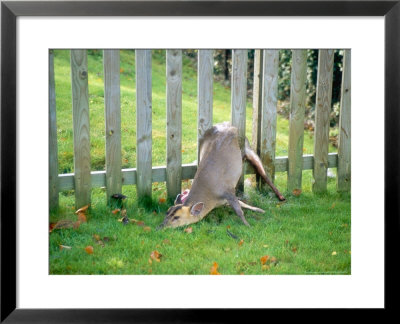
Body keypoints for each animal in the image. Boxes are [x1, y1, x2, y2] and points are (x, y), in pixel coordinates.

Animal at [158, 121, 286, 228]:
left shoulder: (228, 190)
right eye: (167, 212)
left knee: (263, 173)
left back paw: (281, 197)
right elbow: (241, 203)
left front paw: (248, 224)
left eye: (176, 217)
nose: (160, 227)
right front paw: (258, 211)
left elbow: (239, 210)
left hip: (248, 148)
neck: (213, 198)